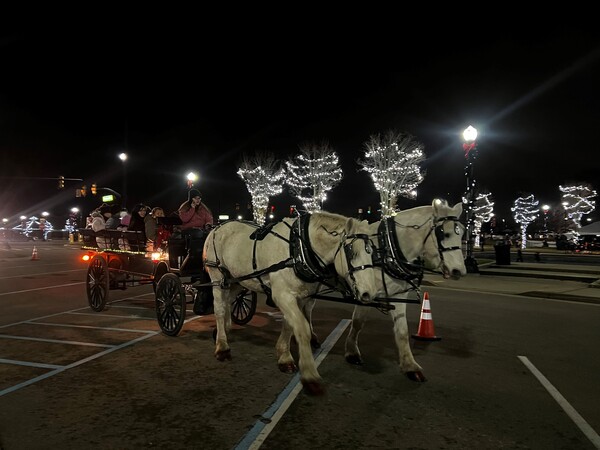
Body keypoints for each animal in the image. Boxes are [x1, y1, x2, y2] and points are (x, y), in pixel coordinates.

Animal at [204, 210, 378, 394]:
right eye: (351, 252)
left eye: (372, 252)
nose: (370, 293)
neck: (298, 249)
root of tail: (217, 227)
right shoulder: (282, 295)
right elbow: (302, 328)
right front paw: (309, 374)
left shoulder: (299, 296)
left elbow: (290, 325)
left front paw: (284, 356)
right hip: (218, 278)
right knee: (219, 308)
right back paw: (222, 346)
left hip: (237, 281)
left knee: (228, 301)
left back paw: (224, 328)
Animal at [302, 200, 466, 384]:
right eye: (444, 233)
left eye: (462, 231)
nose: (459, 271)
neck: (386, 249)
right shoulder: (365, 294)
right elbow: (358, 323)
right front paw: (352, 352)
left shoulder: (398, 295)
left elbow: (402, 331)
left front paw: (410, 366)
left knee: (307, 307)